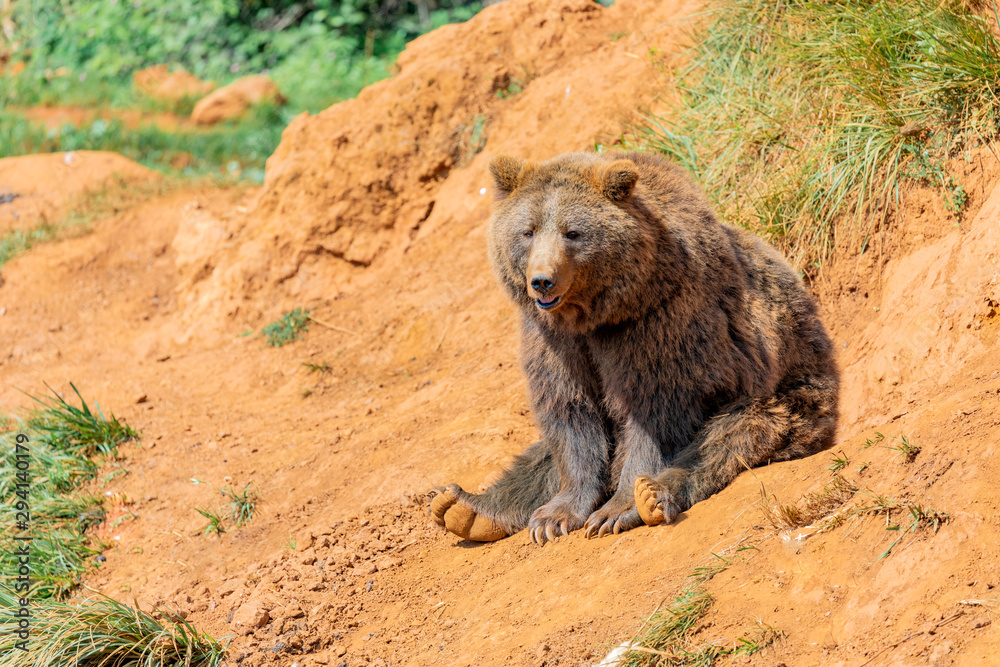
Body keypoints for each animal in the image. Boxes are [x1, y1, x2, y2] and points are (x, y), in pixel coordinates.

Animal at [430, 150, 839, 544]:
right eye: (527, 231)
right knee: (538, 456)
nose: (542, 281)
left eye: (572, 232)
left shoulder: (658, 325)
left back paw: (654, 494)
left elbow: (656, 412)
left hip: (792, 392)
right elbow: (569, 413)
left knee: (733, 434)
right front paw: (553, 517)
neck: (595, 314)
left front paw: (617, 509)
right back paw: (463, 507)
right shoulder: (552, 340)